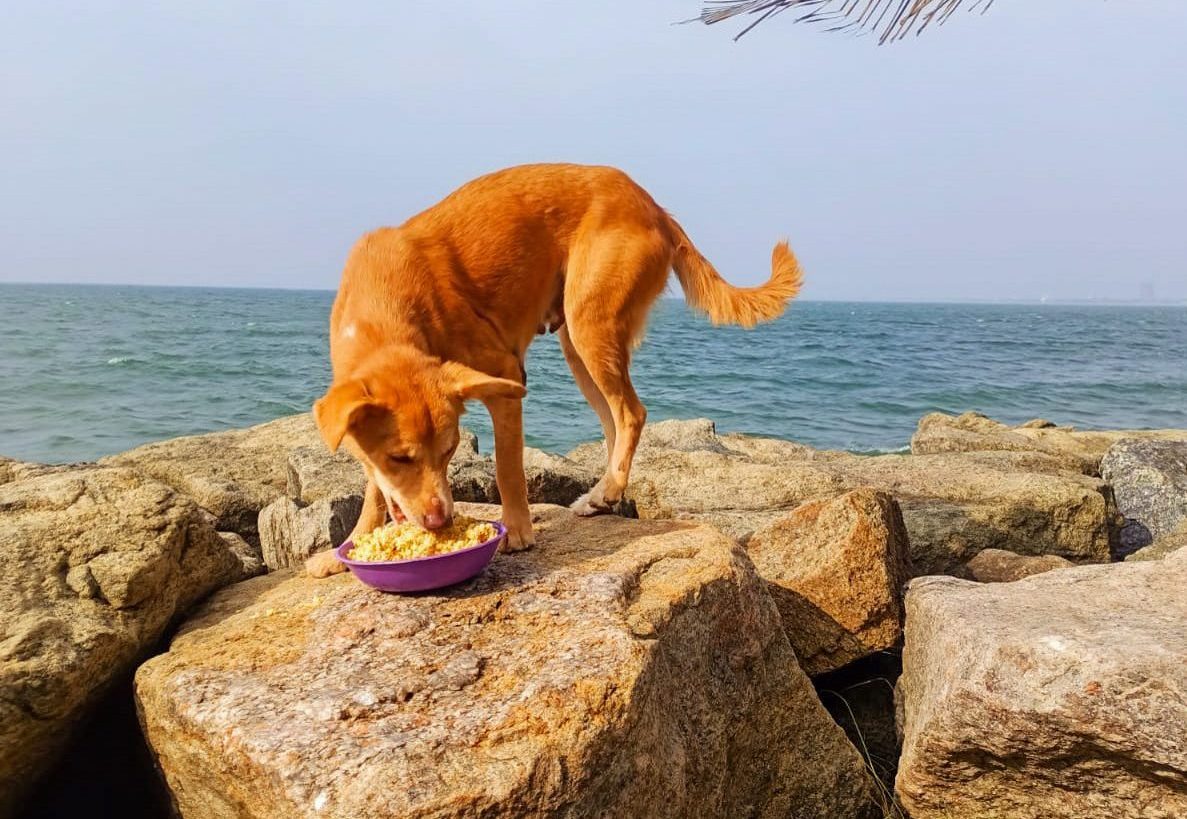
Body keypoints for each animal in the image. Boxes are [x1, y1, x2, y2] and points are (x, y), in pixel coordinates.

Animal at [306, 163, 807, 574]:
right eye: (400, 458)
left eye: (451, 451)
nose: (439, 520)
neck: (383, 313)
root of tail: (653, 206)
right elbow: (375, 488)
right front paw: (349, 546)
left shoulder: (506, 379)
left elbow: (508, 468)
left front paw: (517, 531)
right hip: (578, 343)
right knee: (614, 422)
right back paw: (606, 495)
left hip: (589, 323)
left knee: (631, 413)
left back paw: (605, 491)